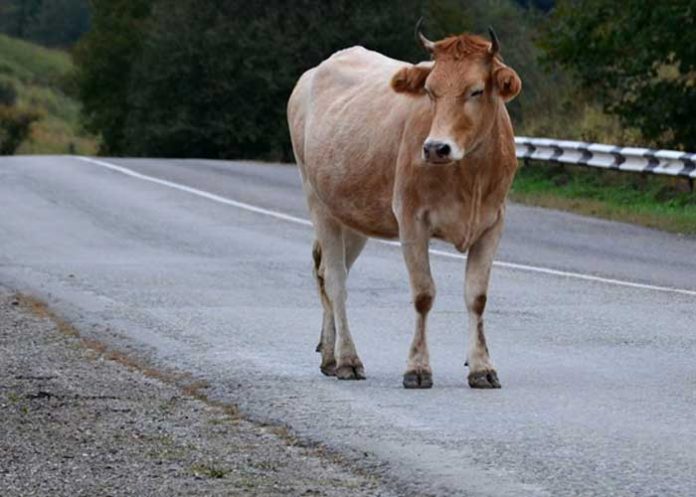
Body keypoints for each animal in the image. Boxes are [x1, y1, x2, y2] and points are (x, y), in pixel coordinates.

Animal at [286, 21, 520, 390]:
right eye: (431, 91)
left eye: (477, 91)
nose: (436, 148)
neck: (470, 176)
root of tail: (314, 72)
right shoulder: (411, 220)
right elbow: (424, 294)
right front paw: (418, 368)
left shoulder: (492, 224)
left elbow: (477, 297)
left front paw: (481, 367)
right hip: (317, 201)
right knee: (336, 281)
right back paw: (348, 360)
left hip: (353, 215)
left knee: (328, 274)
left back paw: (330, 355)